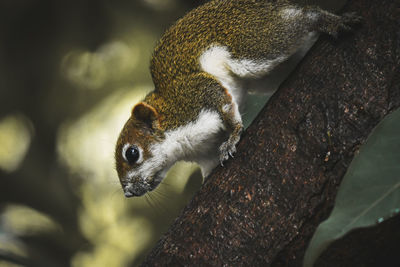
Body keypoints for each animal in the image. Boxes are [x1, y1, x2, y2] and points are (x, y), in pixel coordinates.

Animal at [114, 0, 360, 197]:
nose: (127, 193)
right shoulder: (204, 155)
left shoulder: (195, 96)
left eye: (132, 153)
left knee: (300, 18)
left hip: (251, 45)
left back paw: (327, 20)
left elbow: (224, 106)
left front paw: (233, 136)